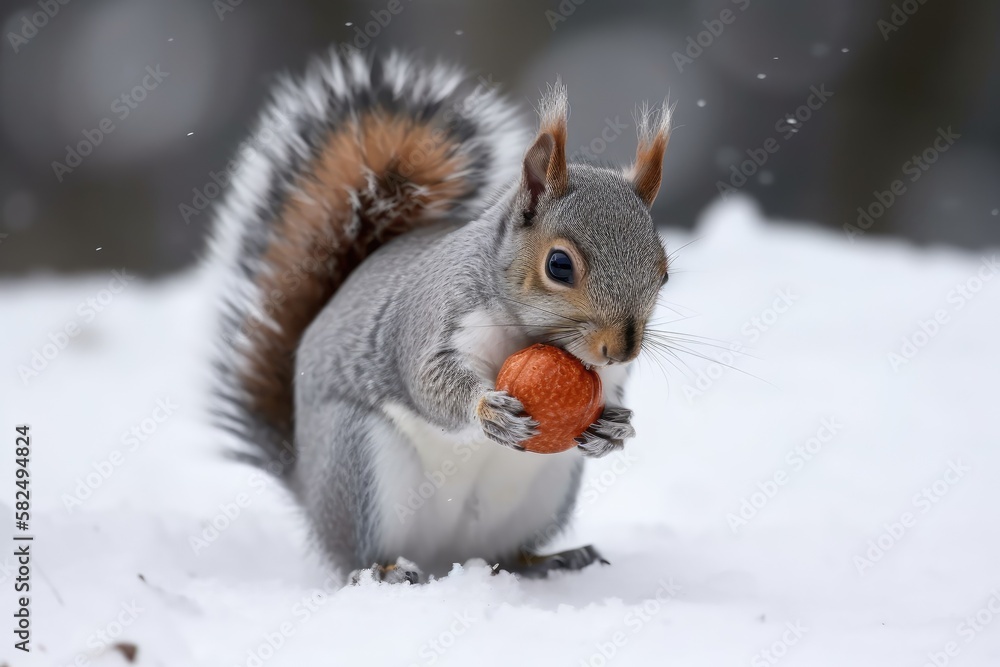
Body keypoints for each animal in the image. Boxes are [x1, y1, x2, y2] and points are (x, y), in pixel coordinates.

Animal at [209, 52, 672, 584]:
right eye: (559, 265)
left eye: (663, 273)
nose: (621, 349)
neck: (527, 332)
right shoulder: (435, 317)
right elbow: (428, 381)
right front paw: (487, 410)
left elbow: (612, 397)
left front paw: (614, 428)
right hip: (360, 463)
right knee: (358, 556)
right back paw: (385, 571)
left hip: (546, 489)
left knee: (509, 553)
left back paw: (550, 560)